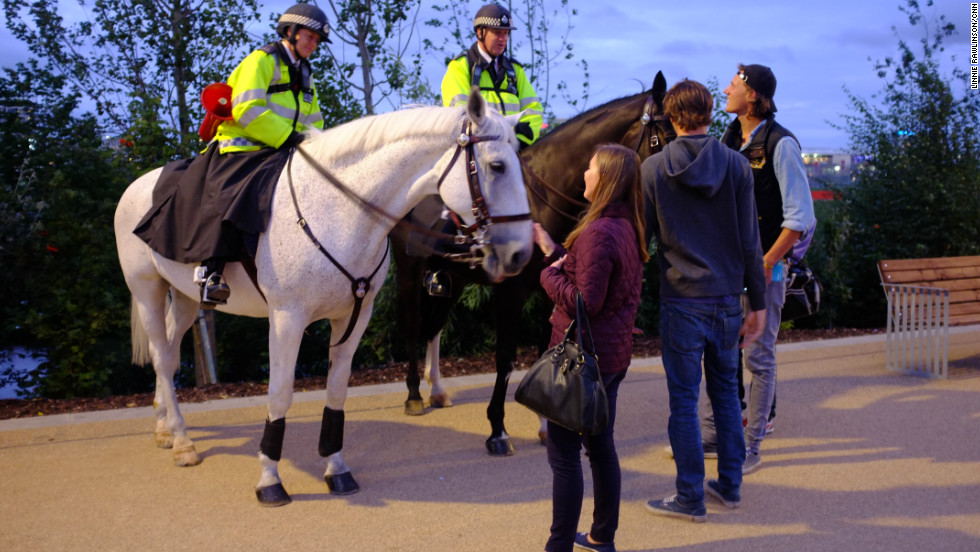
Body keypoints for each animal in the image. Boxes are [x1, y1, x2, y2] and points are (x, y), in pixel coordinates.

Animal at [113, 89, 536, 504]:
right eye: (497, 166)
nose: (521, 253)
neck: (340, 212)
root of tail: (137, 184)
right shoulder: (287, 319)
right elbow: (280, 395)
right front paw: (270, 479)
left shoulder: (354, 317)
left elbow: (336, 391)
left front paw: (336, 468)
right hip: (147, 289)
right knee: (163, 358)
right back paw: (182, 441)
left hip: (185, 298)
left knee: (167, 353)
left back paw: (164, 427)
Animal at [390, 73, 672, 454]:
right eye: (663, 138)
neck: (543, 198)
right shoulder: (510, 293)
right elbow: (506, 356)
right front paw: (497, 429)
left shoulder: (550, 291)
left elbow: (545, 348)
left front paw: (545, 422)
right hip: (408, 270)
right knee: (413, 325)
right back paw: (414, 395)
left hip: (452, 280)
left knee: (434, 327)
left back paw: (436, 389)